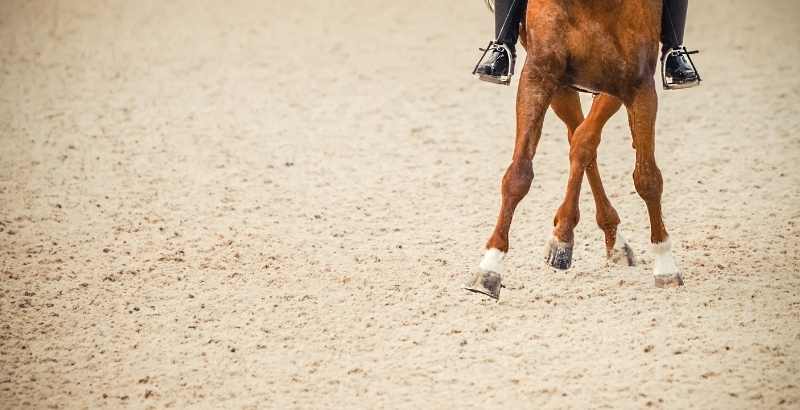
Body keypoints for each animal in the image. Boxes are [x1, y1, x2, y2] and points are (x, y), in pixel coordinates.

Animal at [466, 0, 684, 299]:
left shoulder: (635, 86)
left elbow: (646, 177)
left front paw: (665, 264)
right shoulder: (540, 75)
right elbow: (519, 174)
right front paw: (490, 266)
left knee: (583, 141)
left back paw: (602, 238)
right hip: (561, 87)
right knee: (576, 136)